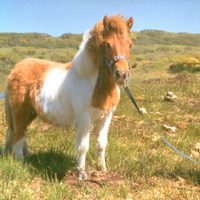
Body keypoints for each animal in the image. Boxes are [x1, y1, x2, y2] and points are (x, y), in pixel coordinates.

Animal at [3, 15, 134, 180]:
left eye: (130, 45)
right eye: (107, 44)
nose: (122, 74)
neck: (92, 82)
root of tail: (15, 69)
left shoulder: (106, 117)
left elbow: (101, 144)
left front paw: (103, 170)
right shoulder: (84, 119)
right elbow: (83, 147)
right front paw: (82, 174)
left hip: (30, 113)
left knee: (19, 134)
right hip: (21, 112)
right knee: (18, 135)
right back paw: (21, 163)